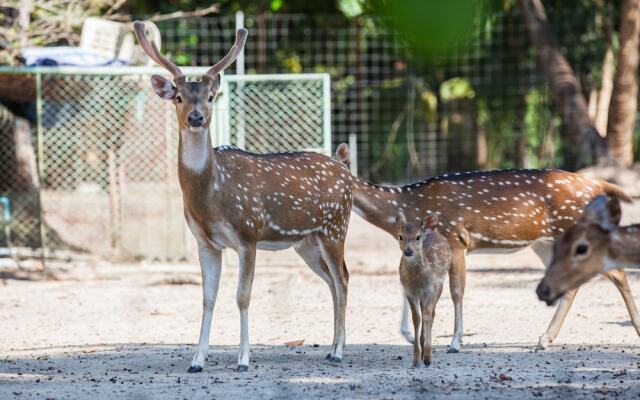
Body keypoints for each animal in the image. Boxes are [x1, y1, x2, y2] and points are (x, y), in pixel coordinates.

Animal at [134, 21, 356, 372]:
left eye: (210, 97)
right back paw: (334, 345)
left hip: (336, 226)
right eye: (179, 97)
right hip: (306, 242)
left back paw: (337, 351)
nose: (196, 117)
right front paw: (197, 360)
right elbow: (207, 298)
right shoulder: (205, 242)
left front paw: (243, 358)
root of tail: (344, 165)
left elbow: (242, 296)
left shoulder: (248, 232)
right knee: (332, 282)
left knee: (343, 278)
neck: (210, 197)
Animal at [336, 144, 636, 350]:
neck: (408, 204)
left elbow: (457, 292)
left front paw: (455, 343)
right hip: (546, 242)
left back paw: (635, 328)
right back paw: (544, 339)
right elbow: (409, 285)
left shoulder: (456, 238)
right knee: (573, 283)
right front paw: (410, 336)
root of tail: (598, 184)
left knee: (617, 272)